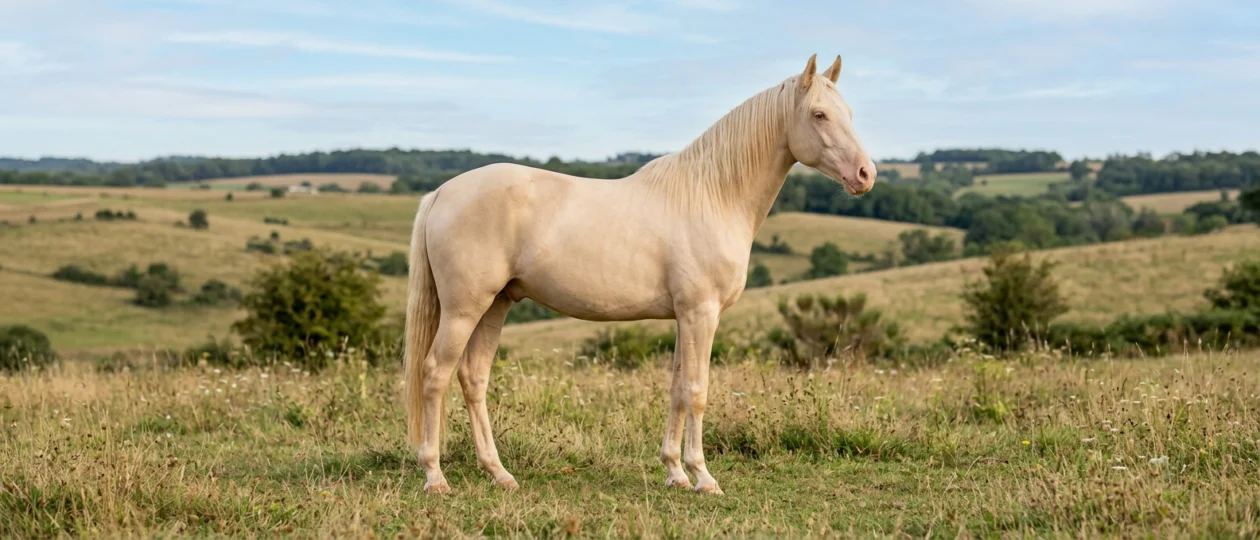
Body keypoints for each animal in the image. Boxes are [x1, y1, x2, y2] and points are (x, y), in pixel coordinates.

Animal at [403, 53, 877, 495]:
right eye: (819, 114)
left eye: (850, 113)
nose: (866, 175)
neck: (713, 196)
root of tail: (441, 192)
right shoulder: (701, 314)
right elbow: (697, 391)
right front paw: (704, 477)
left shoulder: (685, 317)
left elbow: (677, 389)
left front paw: (676, 473)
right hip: (464, 309)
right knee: (435, 374)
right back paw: (435, 476)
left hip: (495, 305)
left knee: (473, 378)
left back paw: (499, 473)